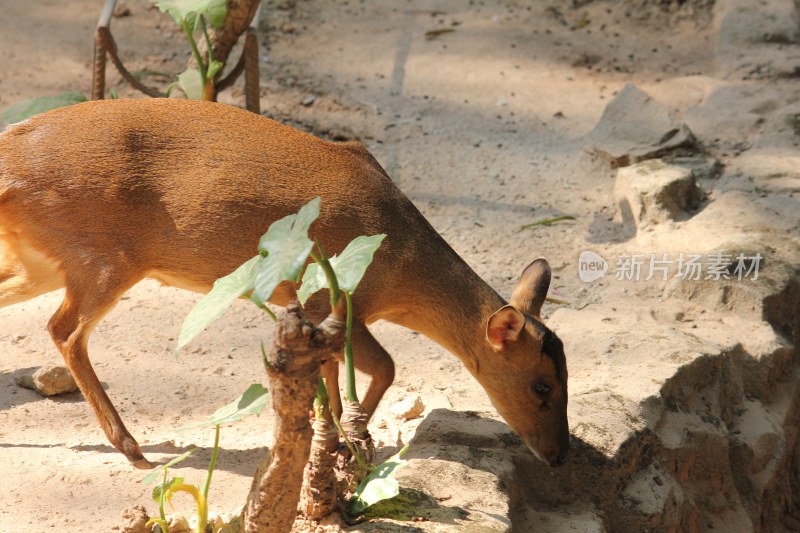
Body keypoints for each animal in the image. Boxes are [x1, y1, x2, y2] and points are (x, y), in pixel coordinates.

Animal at [0, 97, 568, 468]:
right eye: (542, 386)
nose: (560, 456)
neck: (401, 262)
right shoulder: (333, 295)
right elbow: (383, 366)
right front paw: (352, 442)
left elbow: (339, 371)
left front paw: (338, 436)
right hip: (102, 258)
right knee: (66, 331)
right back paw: (132, 447)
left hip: (45, 261)